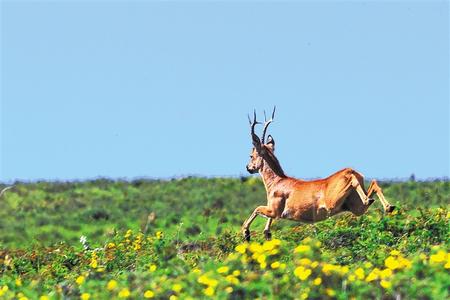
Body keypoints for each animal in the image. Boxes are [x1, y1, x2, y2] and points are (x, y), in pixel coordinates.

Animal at [243, 108, 394, 241]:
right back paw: (388, 206)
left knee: (355, 180)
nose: (248, 168)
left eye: (251, 155)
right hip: (354, 207)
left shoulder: (275, 210)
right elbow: (265, 225)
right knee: (373, 184)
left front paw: (246, 233)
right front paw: (266, 234)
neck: (277, 181)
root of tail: (354, 172)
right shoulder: (274, 211)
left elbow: (256, 209)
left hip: (333, 202)